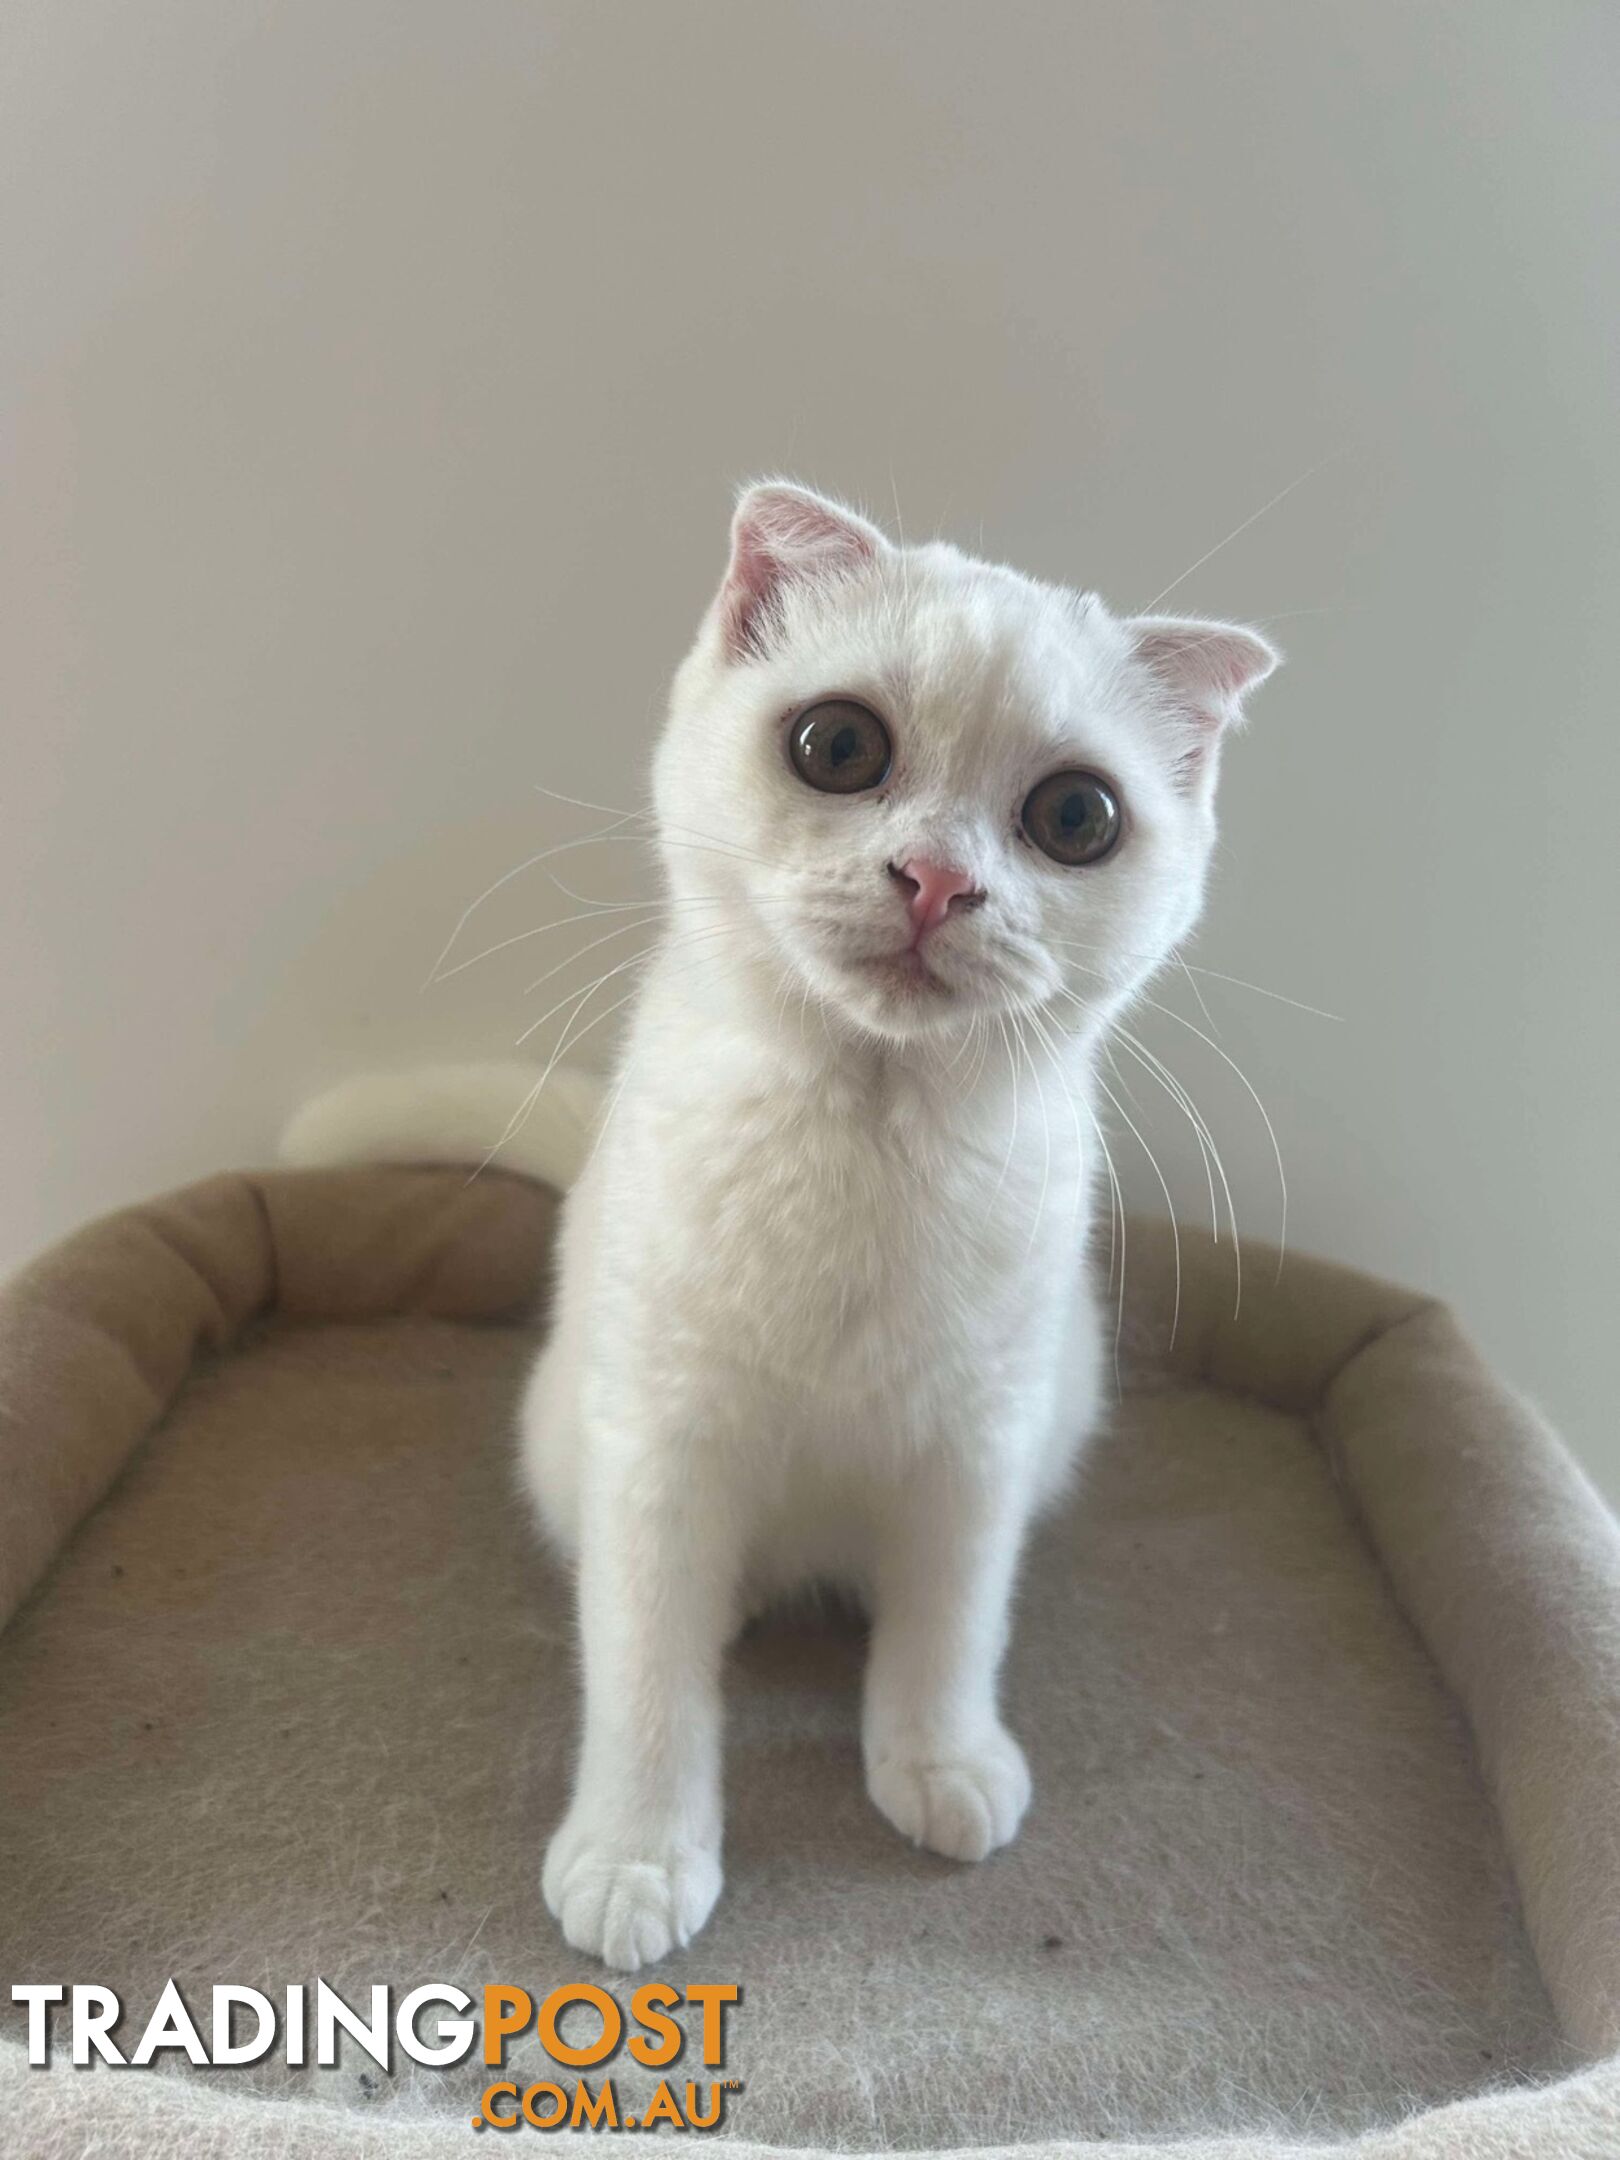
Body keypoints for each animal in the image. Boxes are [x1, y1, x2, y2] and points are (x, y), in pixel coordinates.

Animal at [289, 490, 1278, 1978]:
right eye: (839, 746)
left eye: (1075, 816)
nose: (935, 879)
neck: (865, 1146)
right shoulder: (658, 1444)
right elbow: (646, 1667)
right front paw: (638, 1856)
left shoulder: (980, 1443)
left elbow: (951, 1623)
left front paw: (939, 1758)